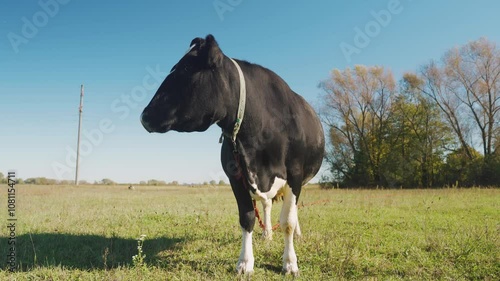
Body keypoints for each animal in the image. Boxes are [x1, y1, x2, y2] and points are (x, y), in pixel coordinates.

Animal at [141, 34, 326, 274]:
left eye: (185, 68)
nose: (145, 115)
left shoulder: (294, 174)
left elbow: (288, 221)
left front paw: (290, 263)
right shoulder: (236, 176)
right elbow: (247, 218)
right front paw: (245, 263)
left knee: (291, 211)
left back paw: (296, 234)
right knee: (266, 205)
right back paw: (267, 233)